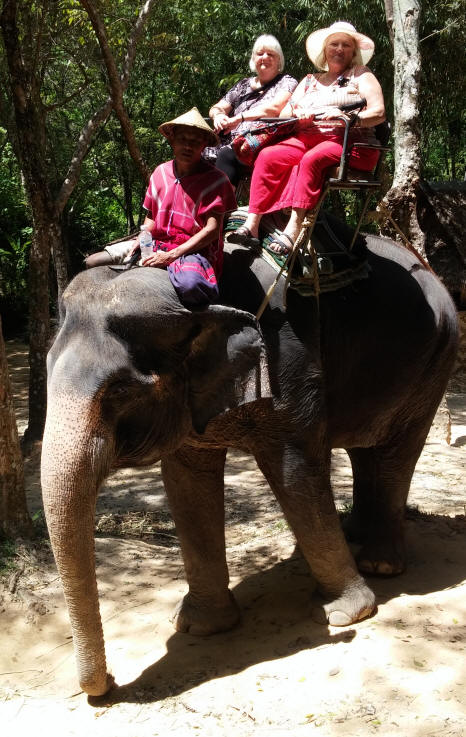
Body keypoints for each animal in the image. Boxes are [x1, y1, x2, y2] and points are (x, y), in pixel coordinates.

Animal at [41, 220, 458, 696]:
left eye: (120, 390)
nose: (108, 684)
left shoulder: (288, 360)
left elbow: (294, 472)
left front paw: (343, 615)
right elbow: (185, 483)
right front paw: (199, 627)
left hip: (437, 361)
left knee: (395, 451)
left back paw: (380, 564)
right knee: (365, 447)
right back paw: (355, 534)